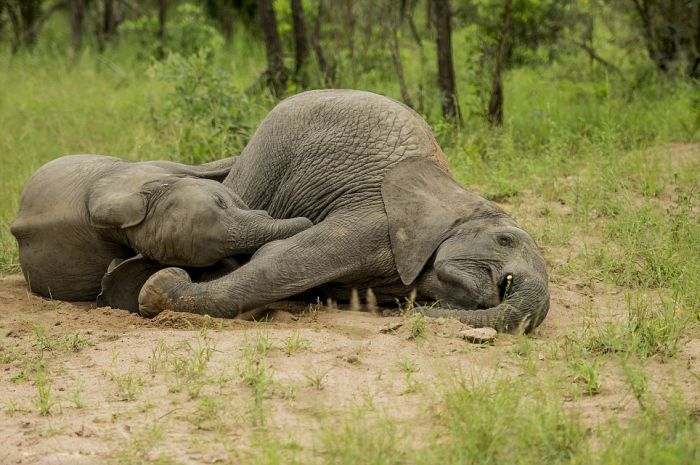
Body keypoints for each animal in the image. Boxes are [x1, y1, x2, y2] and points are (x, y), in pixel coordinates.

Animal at [138, 89, 552, 332]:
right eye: (504, 240)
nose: (401, 321)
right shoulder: (375, 221)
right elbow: (275, 265)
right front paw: (159, 288)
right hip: (266, 155)